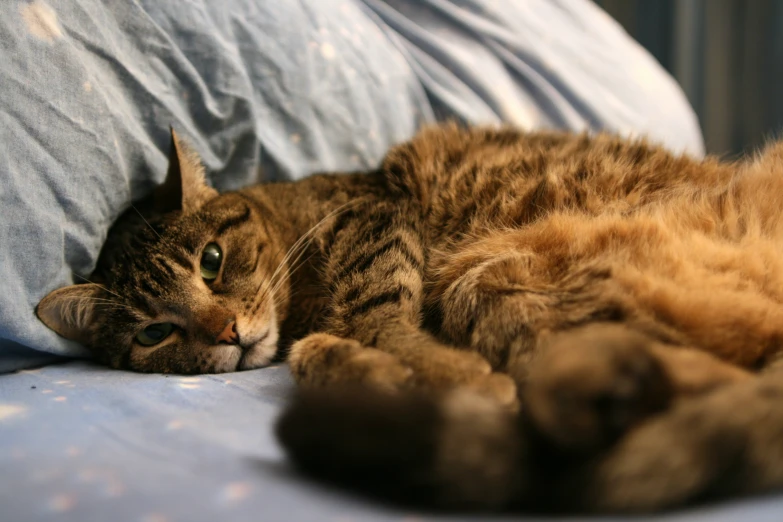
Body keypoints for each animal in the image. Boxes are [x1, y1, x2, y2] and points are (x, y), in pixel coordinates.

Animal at [36, 123, 783, 512]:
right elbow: (318, 353)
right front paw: (386, 378)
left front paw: (440, 371)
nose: (225, 332)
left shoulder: (375, 221)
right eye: (153, 332)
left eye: (212, 262)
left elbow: (372, 315)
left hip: (491, 270)